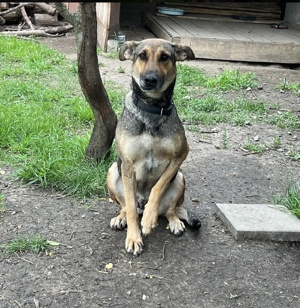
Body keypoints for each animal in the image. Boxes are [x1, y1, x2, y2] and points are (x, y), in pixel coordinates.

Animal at [106, 38, 200, 255]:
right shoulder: (128, 165)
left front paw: (149, 218)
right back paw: (121, 218)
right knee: (127, 207)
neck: (153, 108)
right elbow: (131, 209)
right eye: (142, 56)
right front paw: (134, 238)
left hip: (180, 178)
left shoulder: (181, 154)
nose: (149, 80)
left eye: (164, 57)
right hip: (112, 171)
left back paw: (173, 222)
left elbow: (158, 187)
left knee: (170, 210)